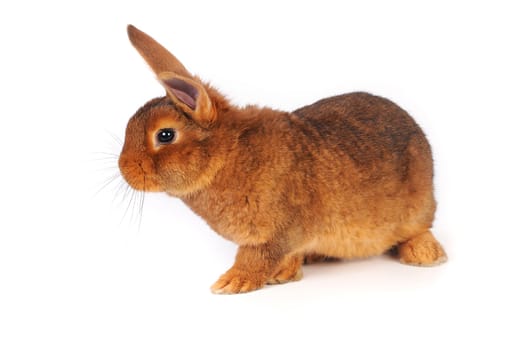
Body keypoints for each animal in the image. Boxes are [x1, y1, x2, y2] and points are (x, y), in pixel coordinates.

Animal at [120, 23, 450, 292]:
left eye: (165, 135)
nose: (124, 169)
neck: (226, 154)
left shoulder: (280, 230)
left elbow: (256, 256)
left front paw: (233, 282)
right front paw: (282, 275)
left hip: (418, 209)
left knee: (419, 229)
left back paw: (425, 255)